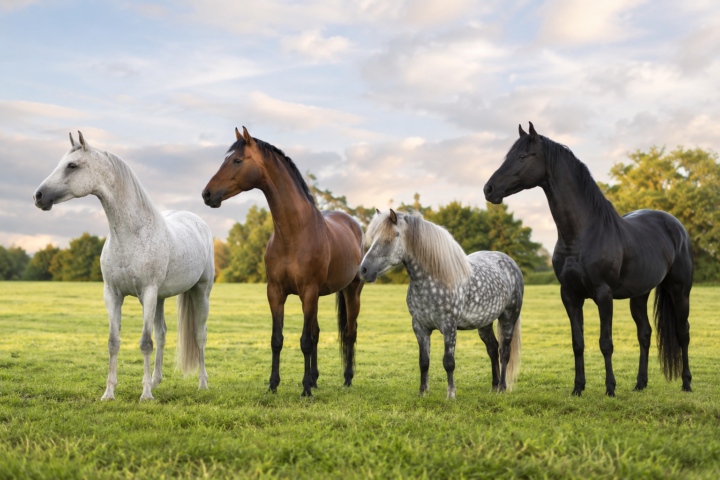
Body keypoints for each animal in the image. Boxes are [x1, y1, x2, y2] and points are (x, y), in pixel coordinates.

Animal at [33, 132, 214, 401]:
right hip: (161, 298)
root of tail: (197, 221)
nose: (38, 196)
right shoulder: (113, 294)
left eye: (72, 165)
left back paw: (202, 384)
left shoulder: (147, 294)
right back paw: (157, 381)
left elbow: (145, 343)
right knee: (162, 334)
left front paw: (145, 395)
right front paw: (109, 393)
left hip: (200, 292)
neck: (130, 235)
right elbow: (114, 342)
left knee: (199, 336)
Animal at [202, 127, 364, 398]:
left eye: (237, 160)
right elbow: (277, 340)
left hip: (352, 291)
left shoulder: (308, 292)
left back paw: (347, 379)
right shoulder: (276, 292)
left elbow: (305, 341)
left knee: (350, 334)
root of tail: (353, 224)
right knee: (318, 333)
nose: (207, 194)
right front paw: (273, 385)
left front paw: (305, 390)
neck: (293, 232)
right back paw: (316, 378)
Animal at [359, 209, 523, 397]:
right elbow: (424, 362)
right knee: (492, 349)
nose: (363, 270)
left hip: (509, 317)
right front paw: (423, 393)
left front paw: (451, 394)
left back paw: (502, 388)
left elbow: (448, 362)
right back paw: (493, 387)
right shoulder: (420, 327)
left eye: (388, 239)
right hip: (484, 323)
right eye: (373, 238)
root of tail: (510, 262)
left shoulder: (449, 326)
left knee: (504, 352)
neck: (434, 279)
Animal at [484, 123, 694, 396]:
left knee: (682, 333)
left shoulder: (604, 295)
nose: (489, 189)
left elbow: (606, 343)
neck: (581, 234)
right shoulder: (570, 295)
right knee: (645, 334)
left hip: (680, 290)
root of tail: (674, 225)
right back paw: (640, 384)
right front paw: (578, 388)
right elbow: (578, 342)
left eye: (522, 156)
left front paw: (610, 388)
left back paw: (687, 383)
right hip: (639, 295)